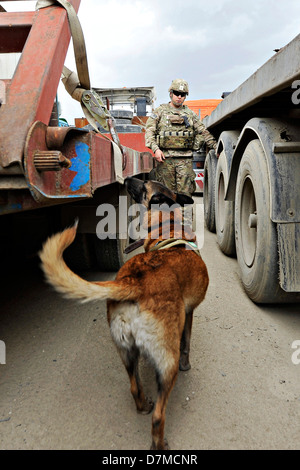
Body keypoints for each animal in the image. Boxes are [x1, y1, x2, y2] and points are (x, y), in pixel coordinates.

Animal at [39, 176, 209, 448]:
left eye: (146, 185)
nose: (128, 178)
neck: (168, 229)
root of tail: (134, 283)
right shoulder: (190, 314)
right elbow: (187, 344)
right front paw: (187, 364)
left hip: (126, 351)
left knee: (134, 387)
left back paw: (143, 405)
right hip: (167, 362)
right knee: (158, 415)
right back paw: (159, 442)